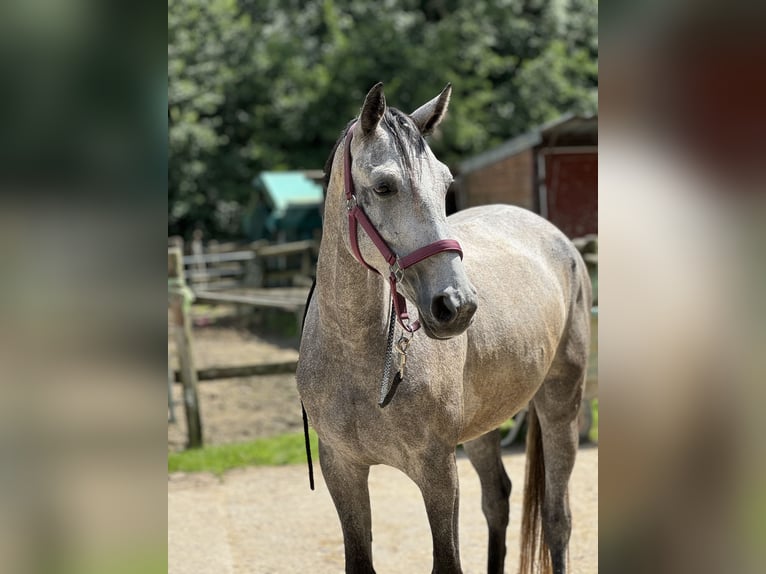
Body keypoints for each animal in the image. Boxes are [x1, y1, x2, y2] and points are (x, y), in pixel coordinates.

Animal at [296, 82, 592, 574]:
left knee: (557, 519)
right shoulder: (342, 468)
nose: (457, 305)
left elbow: (447, 560)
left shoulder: (436, 471)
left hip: (560, 405)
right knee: (498, 500)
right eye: (384, 186)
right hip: (483, 427)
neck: (357, 355)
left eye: (446, 184)